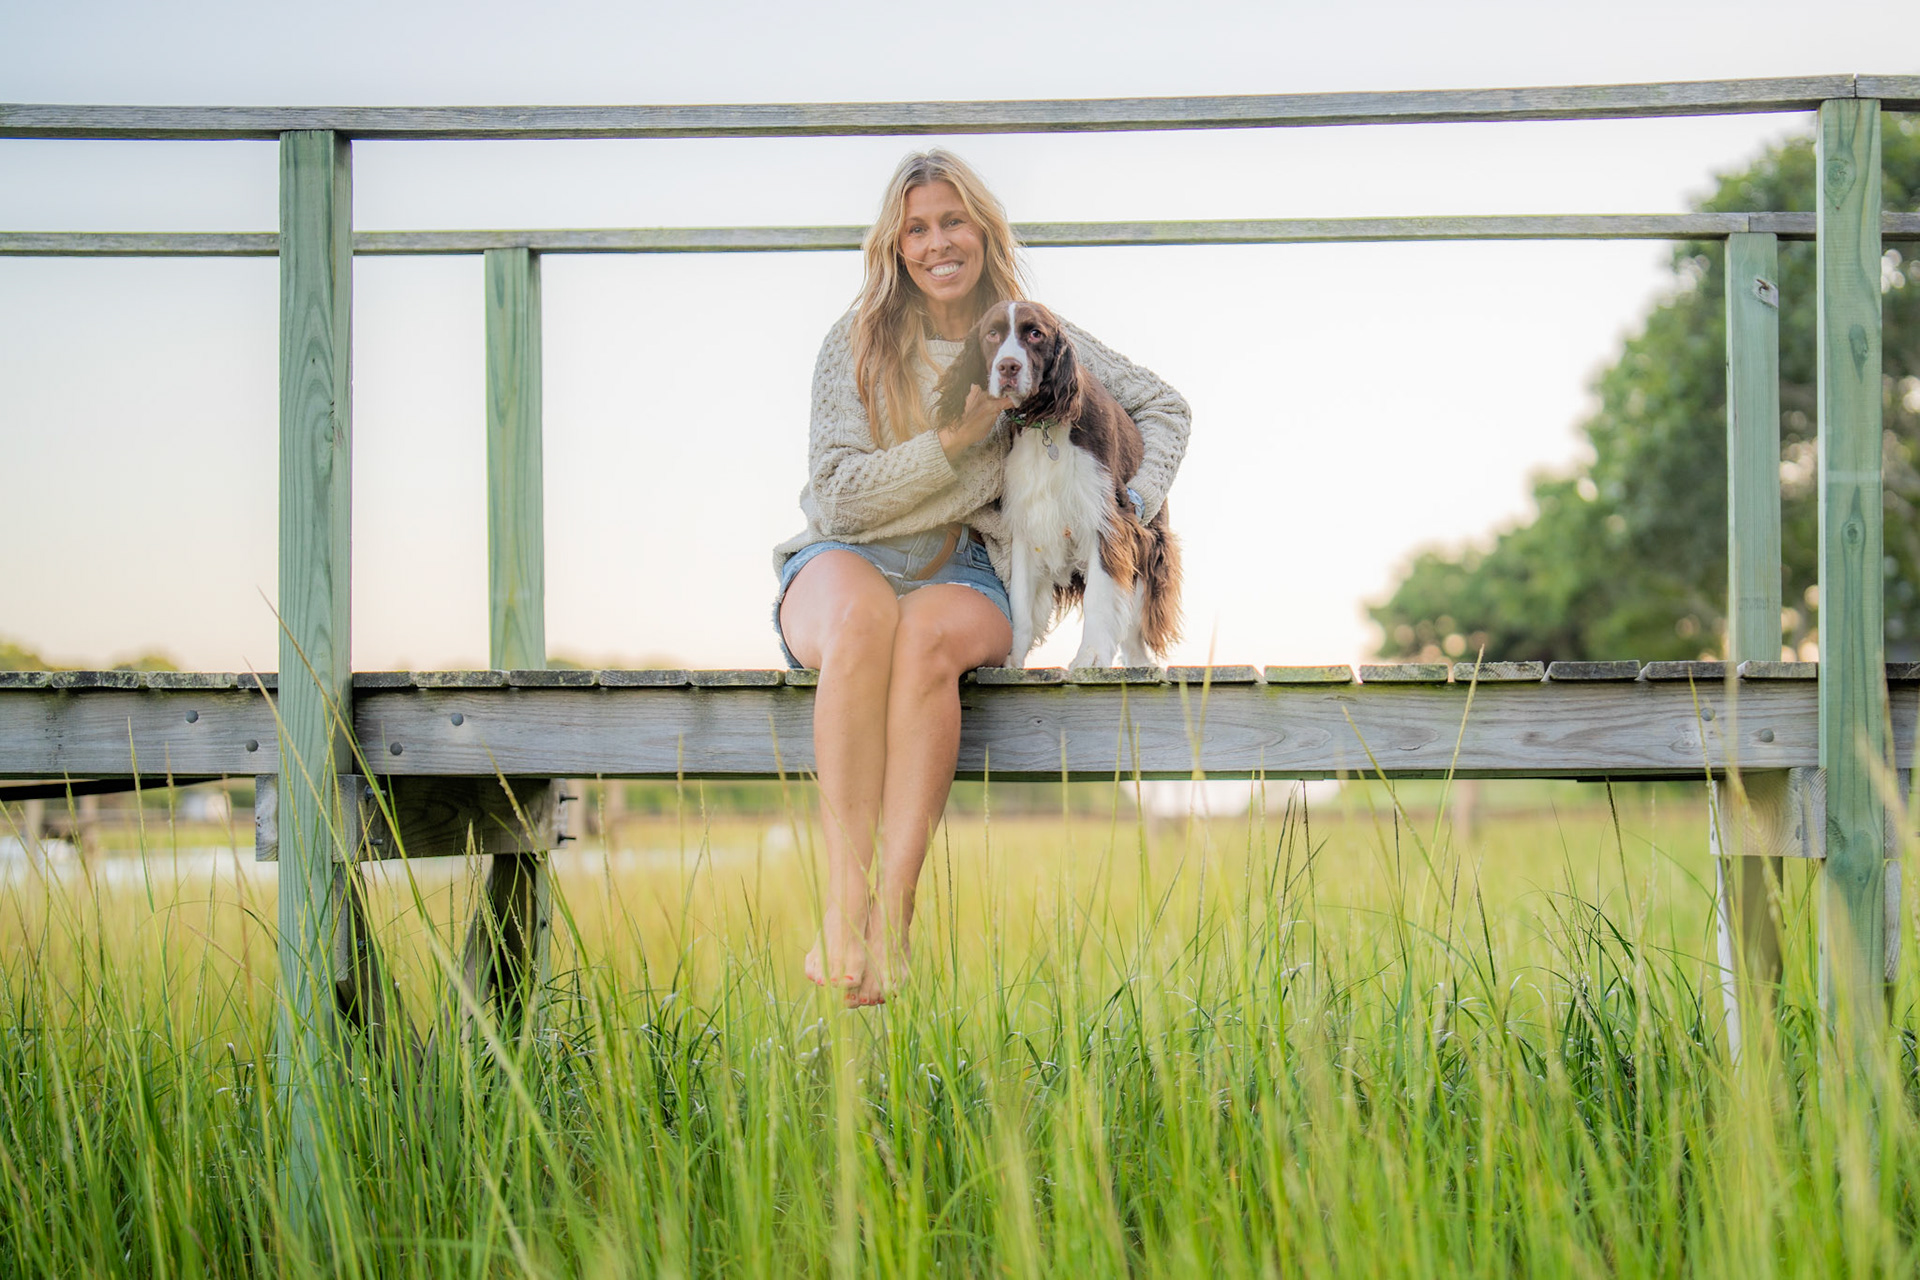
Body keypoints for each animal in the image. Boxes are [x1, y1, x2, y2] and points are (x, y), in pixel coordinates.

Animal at [936, 301, 1181, 669]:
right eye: (992, 334)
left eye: (1035, 334)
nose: (1008, 367)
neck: (1044, 424)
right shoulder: (1026, 520)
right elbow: (1021, 602)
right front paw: (1013, 658)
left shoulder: (1105, 516)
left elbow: (1100, 596)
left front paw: (1091, 656)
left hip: (1151, 541)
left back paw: (1140, 663)